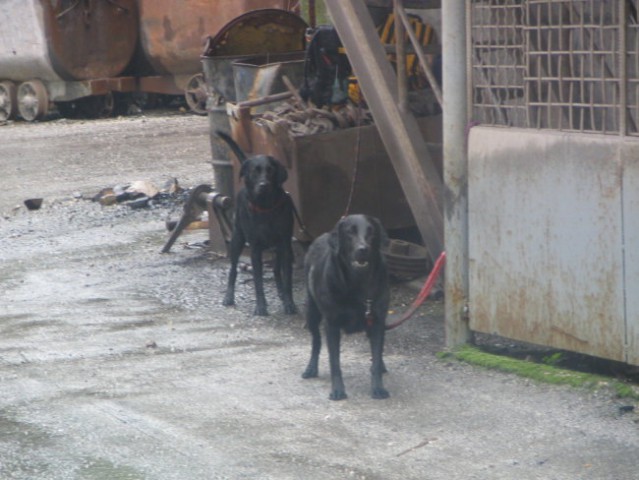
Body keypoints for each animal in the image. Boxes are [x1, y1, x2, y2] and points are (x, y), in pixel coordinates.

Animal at [218, 131, 298, 318]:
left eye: (271, 170)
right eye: (254, 172)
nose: (263, 185)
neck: (266, 206)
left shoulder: (285, 244)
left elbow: (287, 280)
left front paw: (289, 303)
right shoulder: (255, 248)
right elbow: (258, 282)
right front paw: (261, 306)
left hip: (279, 248)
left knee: (276, 271)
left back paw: (281, 293)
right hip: (237, 239)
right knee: (233, 269)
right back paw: (229, 296)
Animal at [304, 216, 390, 400]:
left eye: (371, 231)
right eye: (350, 232)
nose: (363, 249)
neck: (358, 283)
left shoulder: (377, 321)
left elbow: (376, 355)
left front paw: (378, 387)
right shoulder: (331, 325)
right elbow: (334, 362)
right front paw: (337, 390)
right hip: (312, 312)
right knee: (316, 341)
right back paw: (311, 368)